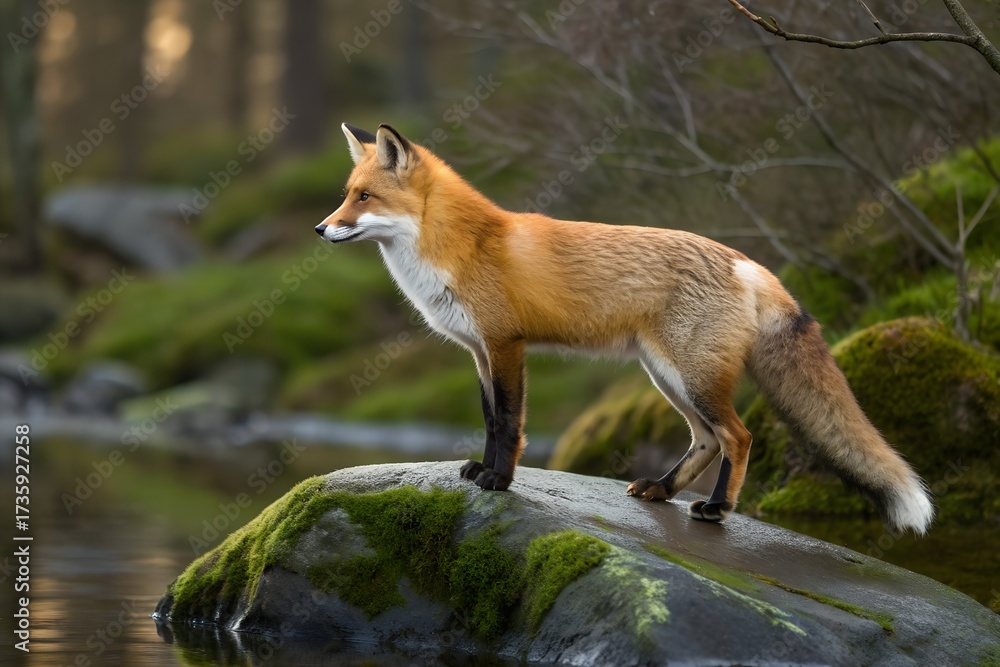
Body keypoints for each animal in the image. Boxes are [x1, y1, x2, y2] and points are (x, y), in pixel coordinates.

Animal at [316, 122, 935, 535]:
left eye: (364, 197)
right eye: (346, 195)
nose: (321, 229)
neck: (462, 248)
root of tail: (744, 261)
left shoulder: (506, 345)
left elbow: (511, 423)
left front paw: (500, 481)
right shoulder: (478, 351)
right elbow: (491, 419)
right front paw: (481, 471)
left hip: (691, 376)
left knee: (739, 437)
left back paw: (717, 509)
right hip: (666, 376)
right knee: (708, 439)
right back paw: (662, 490)